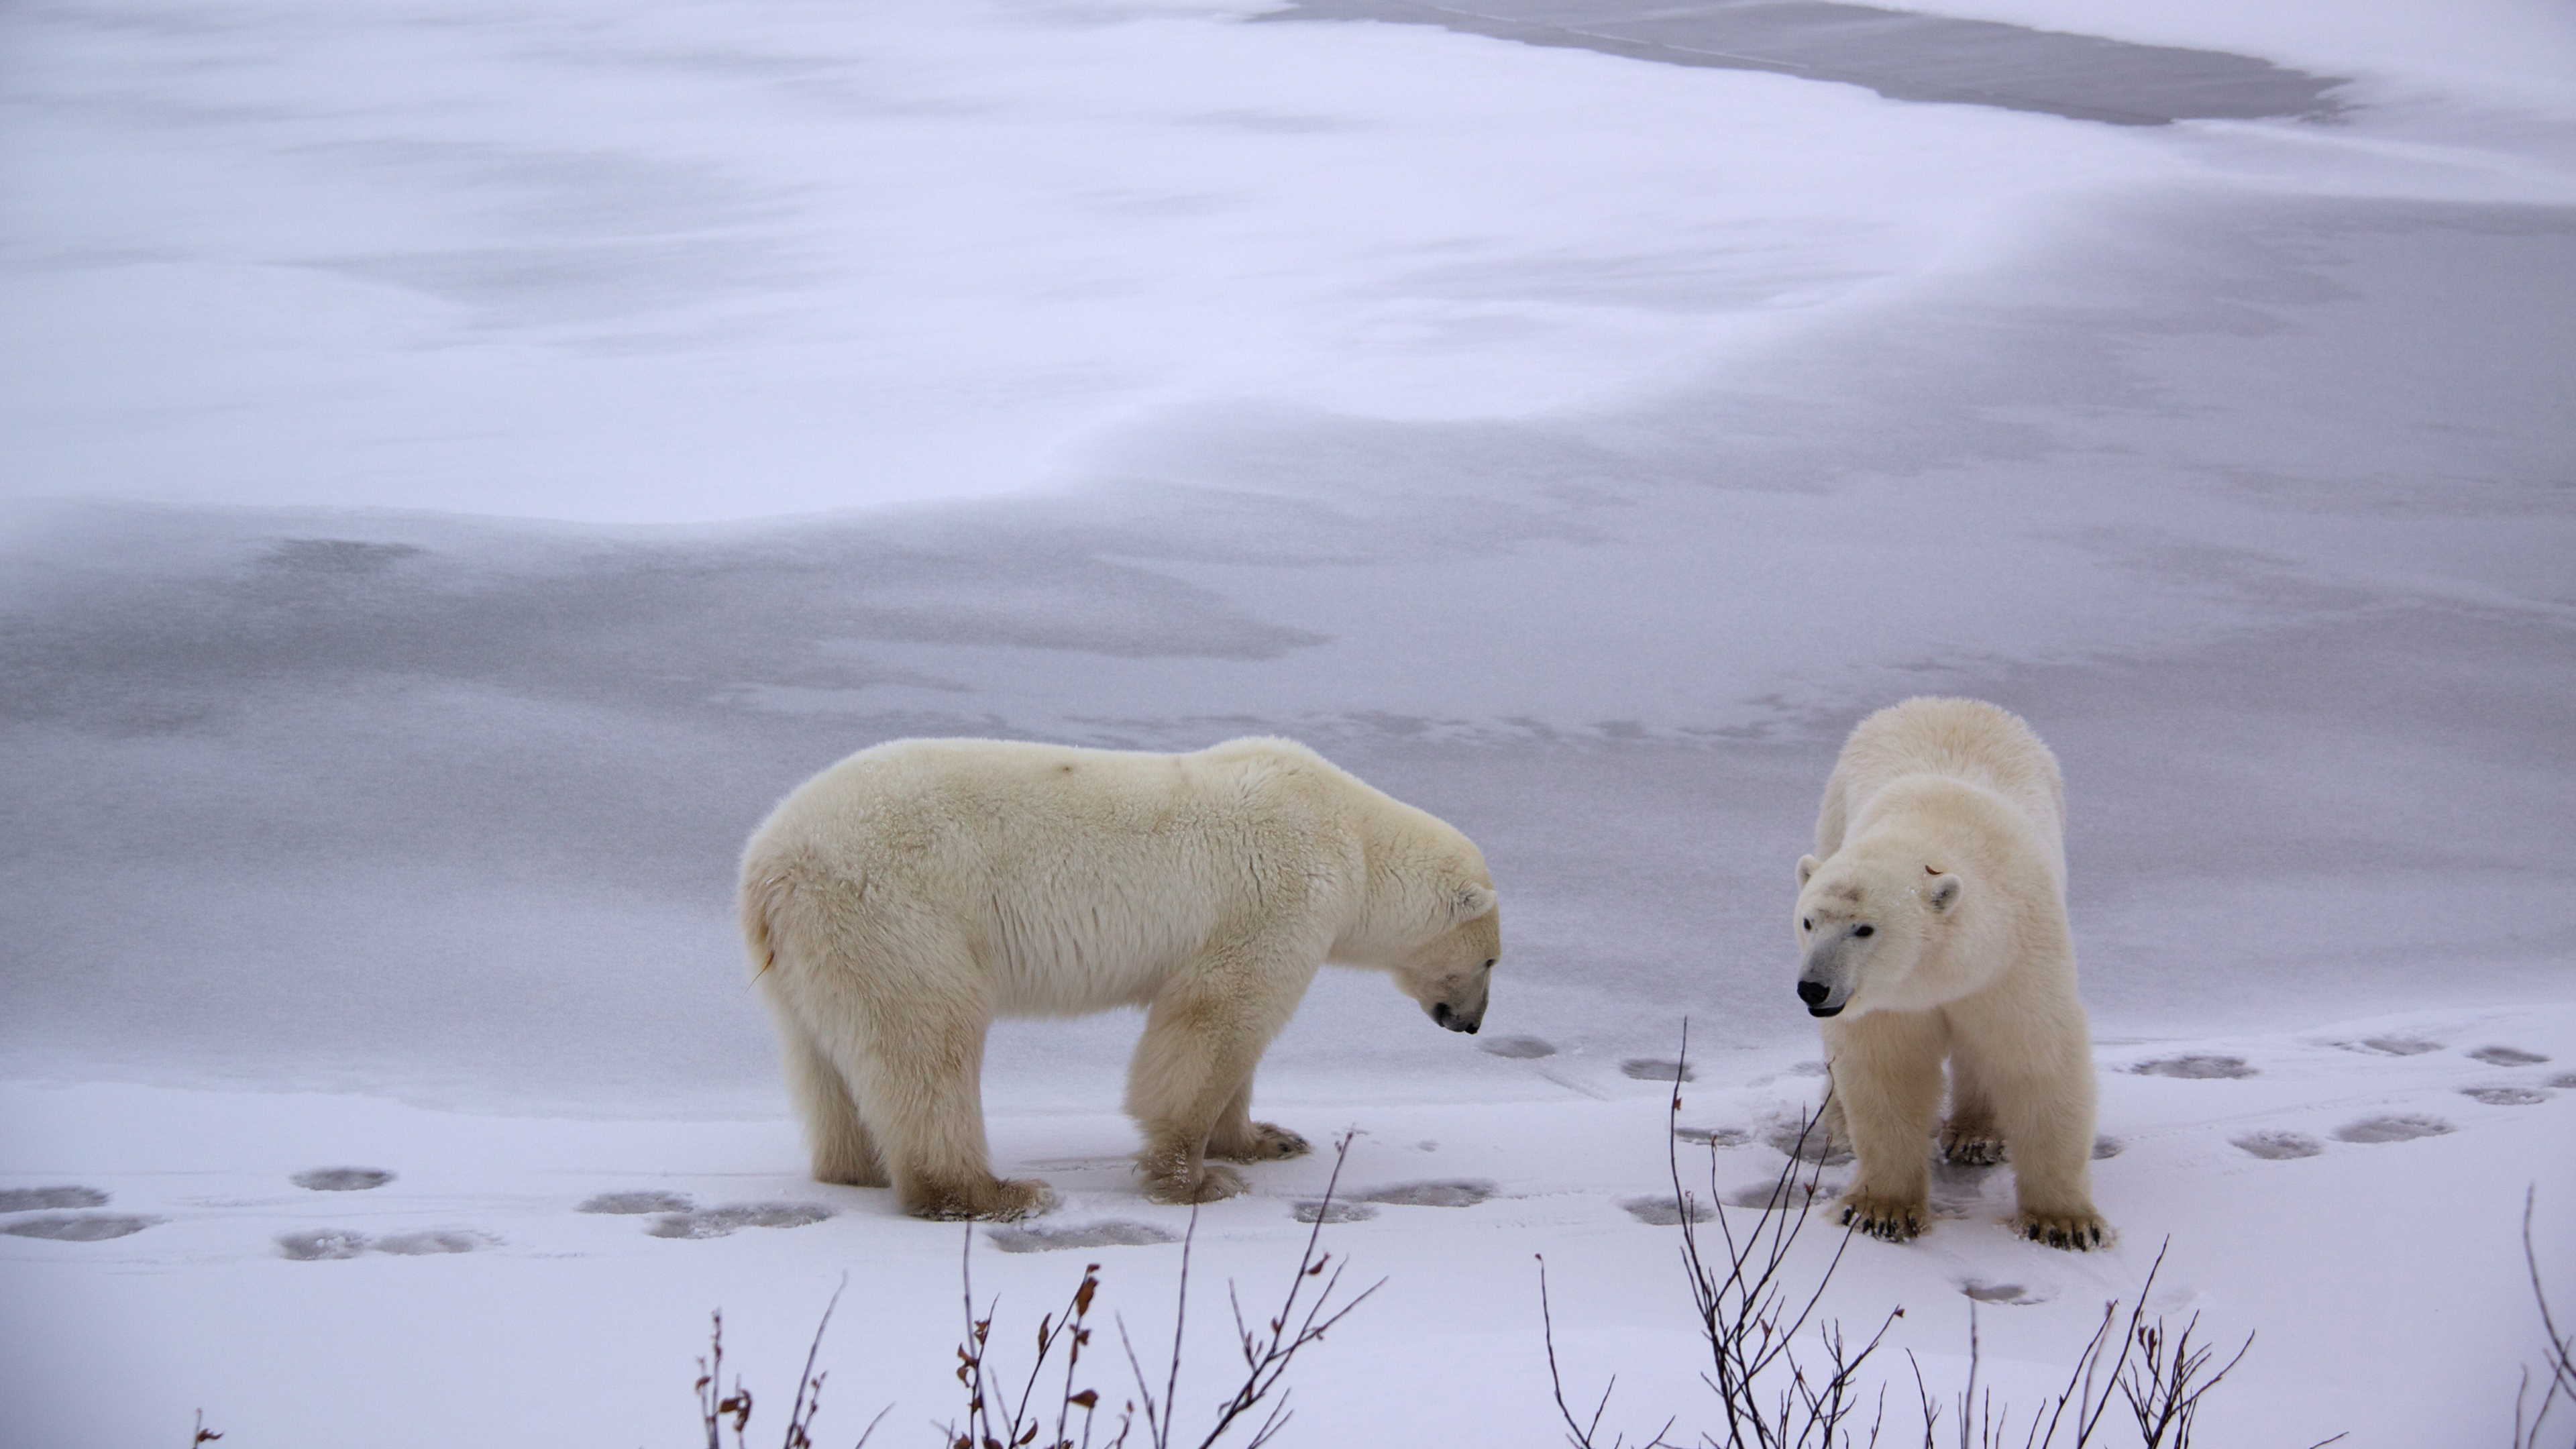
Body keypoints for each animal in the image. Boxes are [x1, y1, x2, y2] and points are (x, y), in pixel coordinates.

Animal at [737, 732, 1504, 1217]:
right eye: (1492, 960)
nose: (1472, 1024)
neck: (1353, 835)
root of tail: (769, 865)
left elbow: (1235, 1039)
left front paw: (1269, 1139)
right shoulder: (1277, 896)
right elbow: (1215, 1020)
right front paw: (1199, 1179)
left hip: (812, 954)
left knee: (824, 1060)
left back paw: (855, 1167)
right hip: (897, 914)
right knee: (927, 1044)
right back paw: (995, 1194)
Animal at [1803, 696, 2102, 1248]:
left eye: (1865, 929)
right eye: (1807, 921)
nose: (1813, 987)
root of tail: (1946, 701)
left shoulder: (2014, 957)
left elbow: (2038, 1058)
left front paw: (2065, 1223)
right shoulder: (1887, 1001)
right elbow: (1887, 1068)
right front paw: (1882, 1210)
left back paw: (1976, 1135)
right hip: (1833, 814)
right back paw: (1839, 1122)